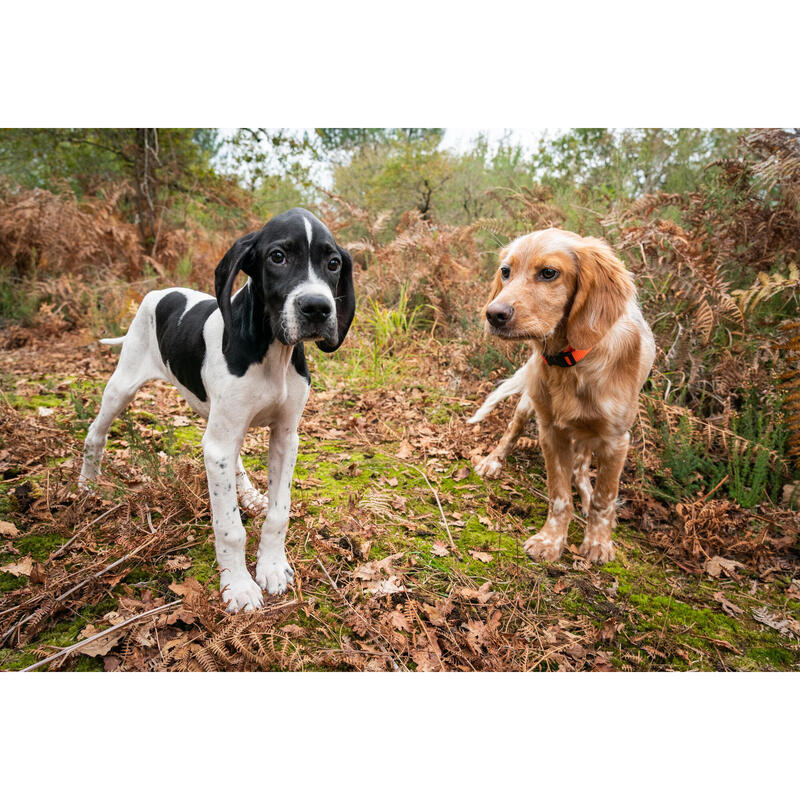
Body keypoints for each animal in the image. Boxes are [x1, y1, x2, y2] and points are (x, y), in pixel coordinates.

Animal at [79, 208, 354, 612]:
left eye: (333, 263)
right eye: (278, 257)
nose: (318, 308)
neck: (272, 350)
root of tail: (159, 292)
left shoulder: (285, 437)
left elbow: (279, 512)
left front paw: (272, 566)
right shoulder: (221, 442)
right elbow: (230, 528)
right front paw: (238, 586)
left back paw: (249, 494)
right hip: (122, 387)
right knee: (95, 433)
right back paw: (86, 485)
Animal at [472, 228, 652, 564]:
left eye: (548, 273)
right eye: (505, 271)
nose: (493, 314)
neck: (571, 362)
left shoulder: (616, 439)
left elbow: (605, 497)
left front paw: (598, 542)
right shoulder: (551, 431)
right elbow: (558, 495)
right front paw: (550, 540)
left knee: (582, 468)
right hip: (529, 405)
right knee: (512, 430)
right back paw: (492, 462)